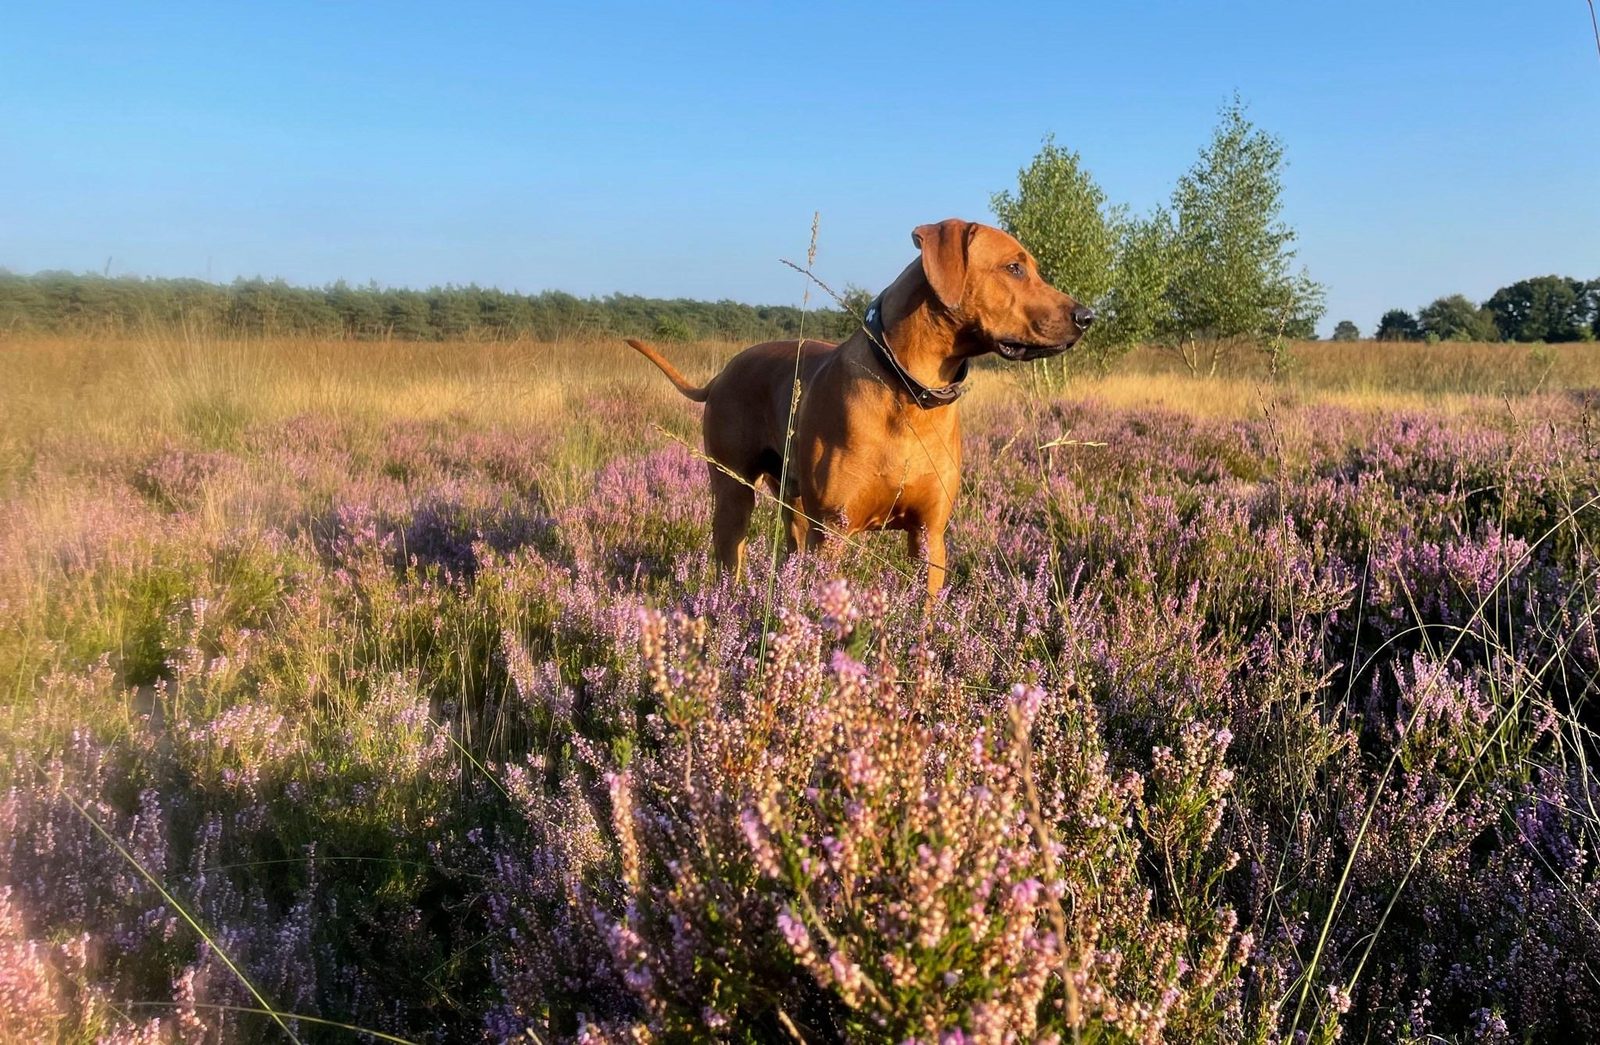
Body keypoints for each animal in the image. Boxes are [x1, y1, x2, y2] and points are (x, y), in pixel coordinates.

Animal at [617, 217, 1094, 595]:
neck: (908, 392)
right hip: (735, 495)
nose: (1087, 316)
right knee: (729, 556)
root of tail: (721, 375)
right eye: (1014, 268)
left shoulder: (930, 535)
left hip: (794, 504)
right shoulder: (835, 533)